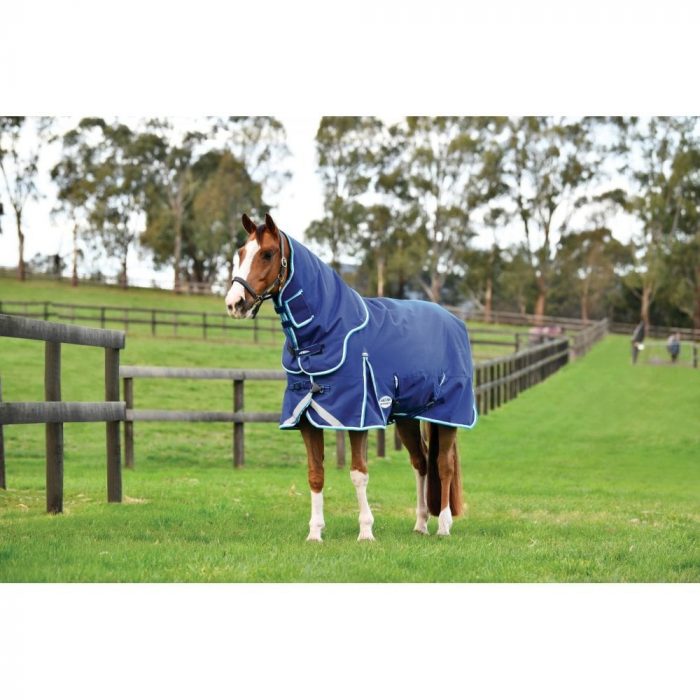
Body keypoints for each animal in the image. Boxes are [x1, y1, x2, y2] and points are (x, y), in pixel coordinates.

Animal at [225, 213, 477, 542]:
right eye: (241, 253)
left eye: (267, 254)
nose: (235, 303)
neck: (328, 334)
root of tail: (454, 321)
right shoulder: (306, 418)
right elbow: (315, 474)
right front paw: (315, 533)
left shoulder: (358, 416)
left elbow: (359, 474)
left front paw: (366, 532)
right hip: (408, 417)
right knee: (421, 463)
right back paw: (421, 524)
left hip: (447, 416)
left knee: (443, 465)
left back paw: (444, 526)